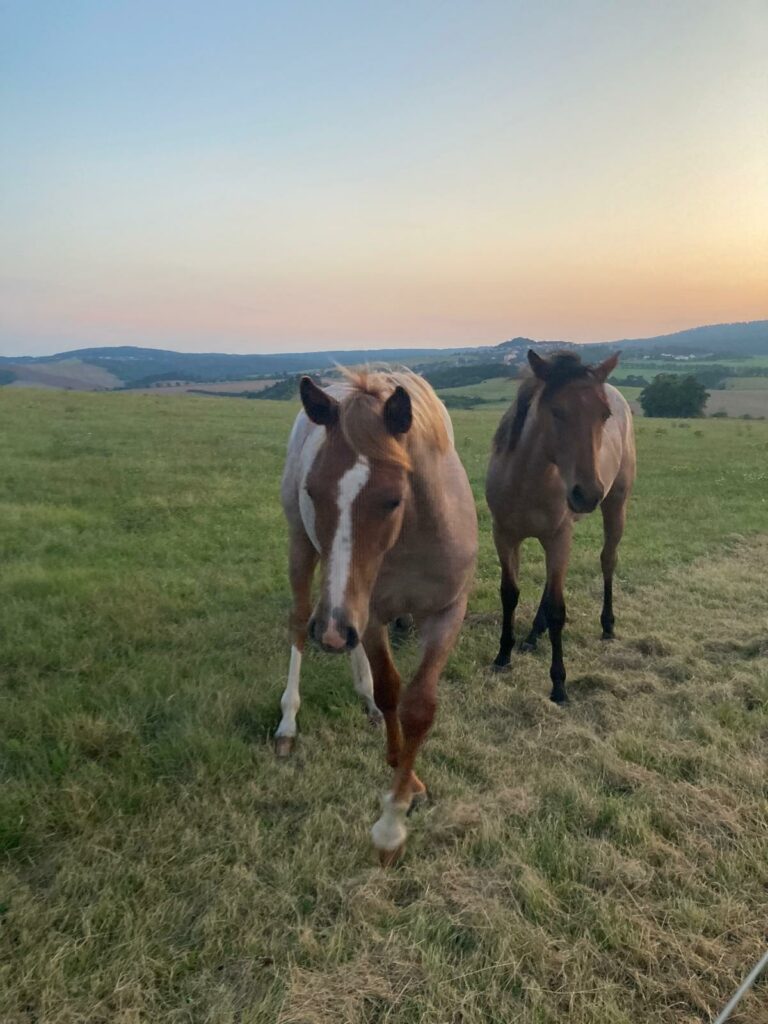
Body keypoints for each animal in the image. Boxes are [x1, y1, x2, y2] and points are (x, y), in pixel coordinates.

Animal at [280, 368, 479, 864]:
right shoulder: (365, 614)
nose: (331, 632)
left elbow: (418, 707)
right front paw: (392, 816)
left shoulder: (447, 612)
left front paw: (402, 799)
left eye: (392, 499)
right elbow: (392, 690)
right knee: (298, 622)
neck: (412, 537)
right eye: (313, 491)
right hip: (304, 552)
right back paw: (287, 722)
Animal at [487, 352, 638, 704]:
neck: (526, 482)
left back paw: (607, 625)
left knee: (608, 560)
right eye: (556, 410)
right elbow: (509, 594)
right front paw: (503, 655)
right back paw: (533, 635)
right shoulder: (505, 536)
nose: (587, 493)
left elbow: (558, 609)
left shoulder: (558, 538)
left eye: (603, 414)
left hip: (615, 506)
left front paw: (558, 684)